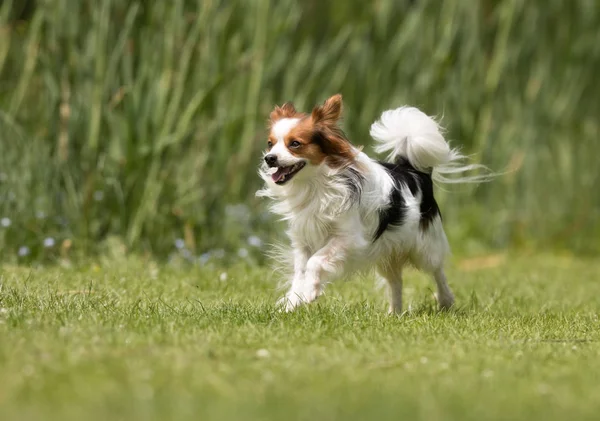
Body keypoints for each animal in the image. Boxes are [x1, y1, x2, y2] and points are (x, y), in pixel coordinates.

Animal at [256, 95, 488, 312]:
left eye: (295, 144)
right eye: (270, 144)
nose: (269, 158)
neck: (315, 185)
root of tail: (413, 171)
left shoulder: (348, 238)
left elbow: (315, 261)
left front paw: (310, 292)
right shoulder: (303, 241)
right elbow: (300, 271)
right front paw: (293, 302)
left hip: (424, 247)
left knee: (437, 270)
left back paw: (445, 300)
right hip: (388, 250)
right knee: (396, 281)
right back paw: (395, 313)